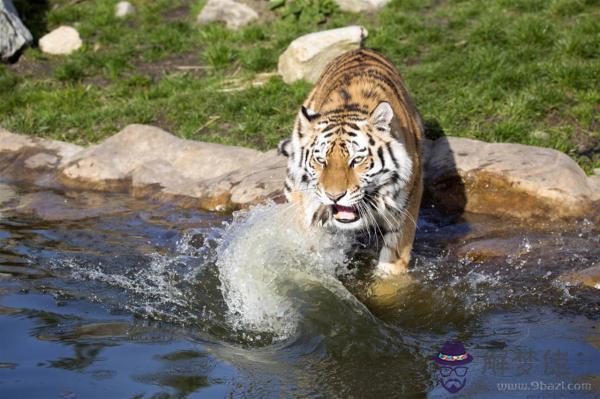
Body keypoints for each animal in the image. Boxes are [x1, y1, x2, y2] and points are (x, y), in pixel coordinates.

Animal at [278, 48, 424, 282]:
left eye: (356, 160)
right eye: (321, 160)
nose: (334, 196)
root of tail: (361, 49)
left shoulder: (405, 210)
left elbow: (391, 267)